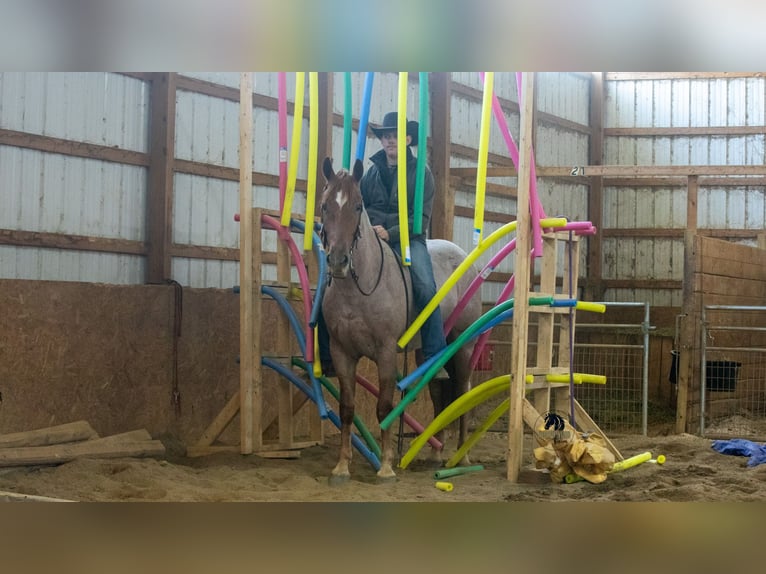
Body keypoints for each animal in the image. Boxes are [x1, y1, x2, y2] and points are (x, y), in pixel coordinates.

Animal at [319, 157, 482, 484]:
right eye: (325, 205)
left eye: (358, 206)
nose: (338, 261)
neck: (359, 287)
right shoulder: (342, 352)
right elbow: (346, 408)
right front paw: (342, 466)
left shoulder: (385, 352)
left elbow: (384, 407)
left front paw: (385, 466)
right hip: (428, 351)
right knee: (438, 393)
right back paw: (436, 452)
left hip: (464, 346)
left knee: (462, 392)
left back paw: (462, 455)